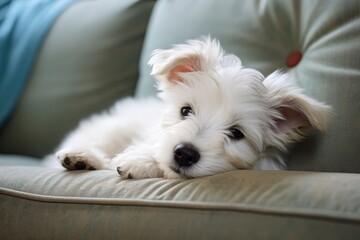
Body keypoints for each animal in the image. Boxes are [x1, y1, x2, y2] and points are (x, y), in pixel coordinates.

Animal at [51, 36, 332, 178]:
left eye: (236, 134)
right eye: (185, 111)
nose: (184, 153)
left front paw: (140, 162)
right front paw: (143, 158)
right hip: (112, 129)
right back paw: (83, 157)